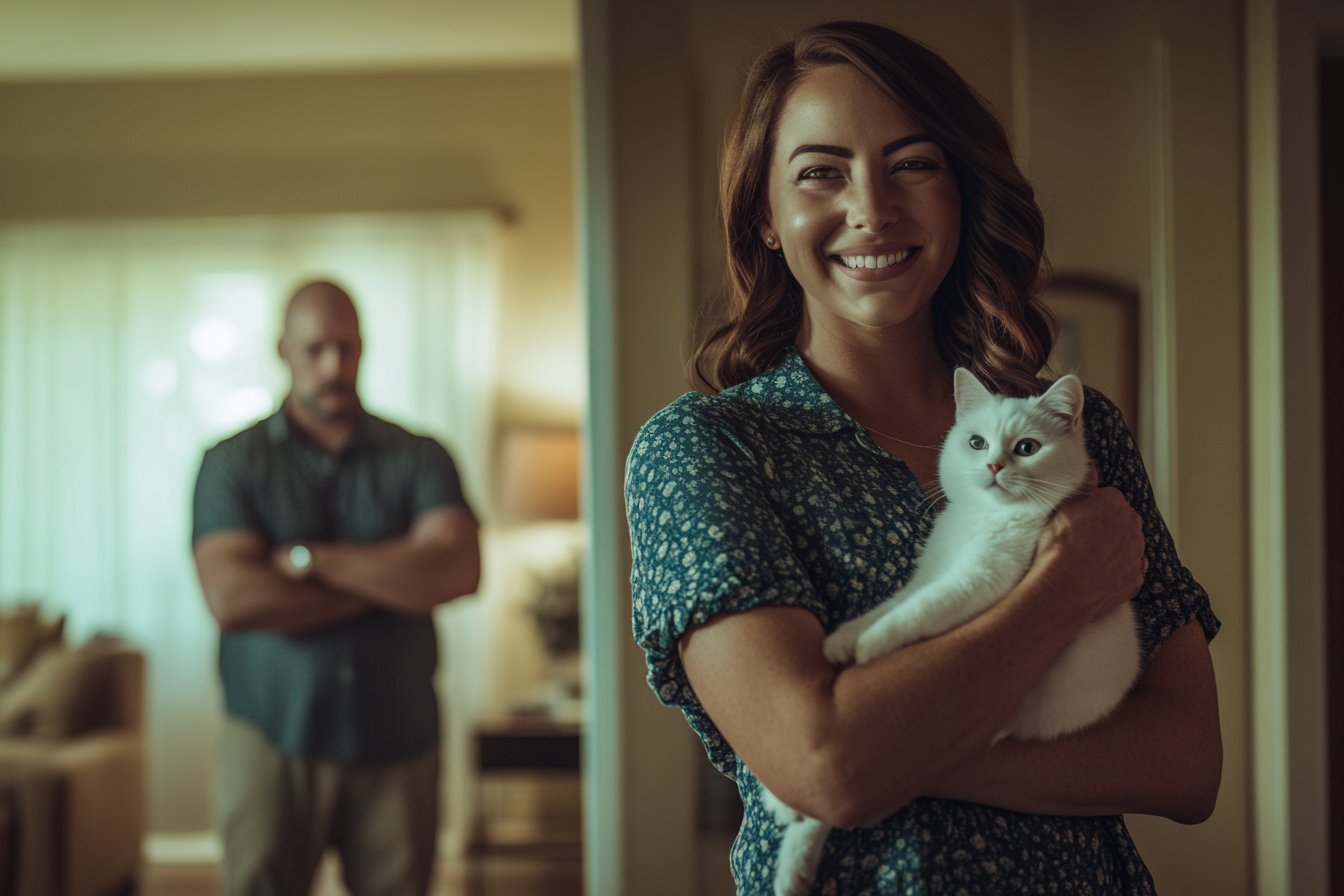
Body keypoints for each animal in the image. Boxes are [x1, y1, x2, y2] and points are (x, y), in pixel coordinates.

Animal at [763, 370, 1139, 896]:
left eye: (1027, 447)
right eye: (976, 442)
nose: (994, 464)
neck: (983, 517)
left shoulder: (979, 581)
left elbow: (914, 613)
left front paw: (871, 646)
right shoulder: (931, 571)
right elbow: (893, 604)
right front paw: (845, 638)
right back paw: (789, 853)